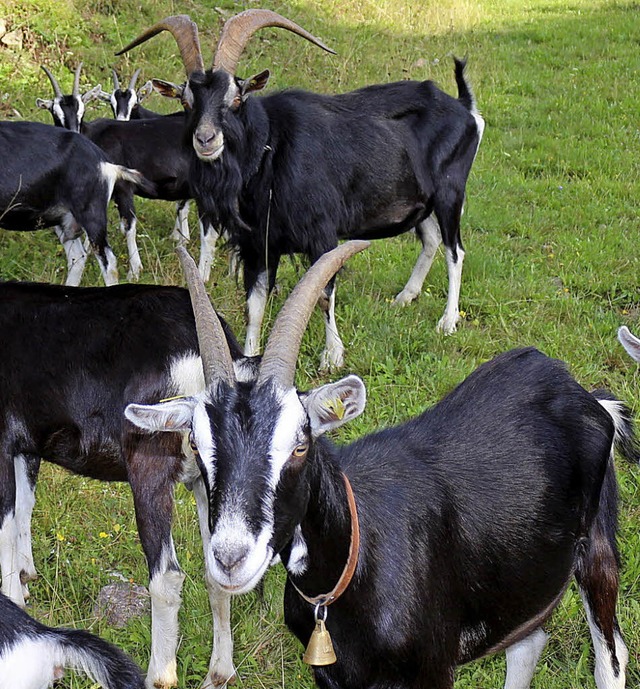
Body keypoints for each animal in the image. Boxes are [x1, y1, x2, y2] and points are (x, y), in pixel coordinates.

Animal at [38, 62, 222, 282]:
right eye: (55, 113)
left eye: (81, 111)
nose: (73, 134)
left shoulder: (124, 187)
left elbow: (128, 227)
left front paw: (134, 271)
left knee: (210, 232)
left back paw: (203, 275)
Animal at [117, 8, 484, 368]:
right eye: (186, 101)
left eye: (236, 99)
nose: (205, 139)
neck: (270, 149)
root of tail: (464, 108)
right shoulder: (258, 244)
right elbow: (255, 304)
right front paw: (250, 356)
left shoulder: (322, 233)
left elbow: (322, 293)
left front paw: (332, 357)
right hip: (421, 201)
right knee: (432, 240)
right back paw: (405, 297)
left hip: (450, 192)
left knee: (455, 251)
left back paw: (447, 321)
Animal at [125, 241, 636, 688]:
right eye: (197, 443)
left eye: (300, 444)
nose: (230, 558)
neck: (351, 566)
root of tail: (583, 393)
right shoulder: (330, 674)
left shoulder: (432, 668)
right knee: (527, 645)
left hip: (596, 549)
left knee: (610, 658)